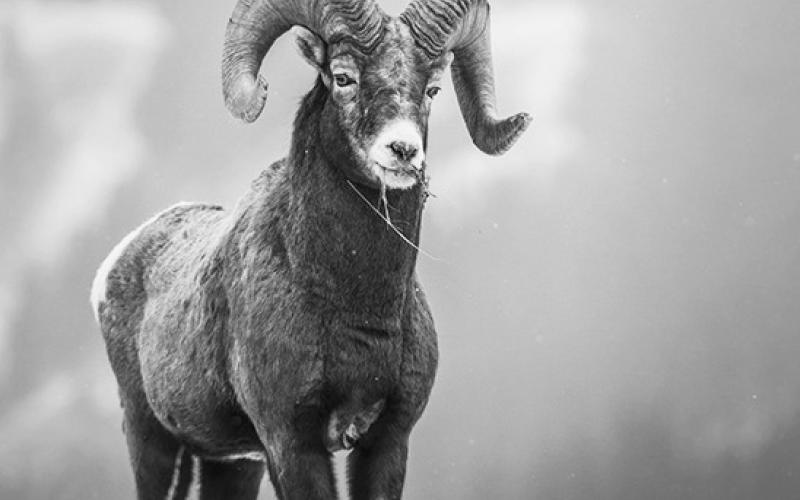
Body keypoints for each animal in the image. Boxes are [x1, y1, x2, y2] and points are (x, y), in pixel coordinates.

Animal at [91, 0, 530, 498]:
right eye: (343, 77)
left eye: (433, 88)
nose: (402, 150)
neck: (356, 306)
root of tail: (115, 264)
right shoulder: (291, 442)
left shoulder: (388, 442)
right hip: (152, 440)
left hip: (232, 464)